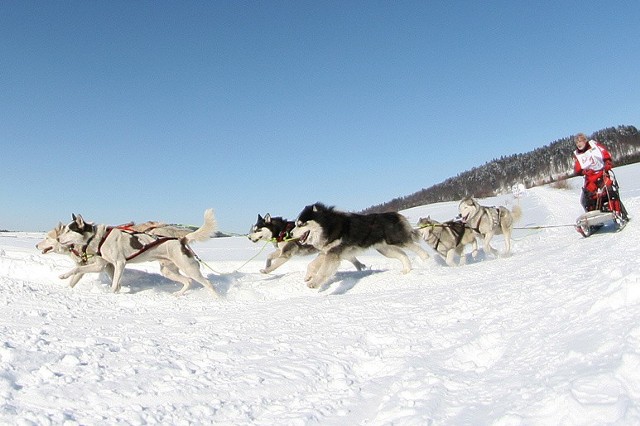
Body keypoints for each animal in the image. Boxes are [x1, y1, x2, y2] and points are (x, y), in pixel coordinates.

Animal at [53, 209, 218, 296]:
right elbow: (77, 269)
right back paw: (178, 294)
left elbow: (115, 282)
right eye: (65, 229)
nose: (58, 238)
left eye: (69, 230)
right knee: (188, 281)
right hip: (168, 270)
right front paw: (64, 275)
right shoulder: (101, 266)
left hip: (189, 267)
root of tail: (182, 239)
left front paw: (112, 293)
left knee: (208, 284)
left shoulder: (120, 263)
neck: (99, 238)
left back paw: (217, 299)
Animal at [290, 203, 430, 290]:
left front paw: (314, 283)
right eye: (296, 224)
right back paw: (407, 270)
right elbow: (312, 264)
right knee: (403, 255)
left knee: (416, 247)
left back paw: (427, 261)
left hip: (397, 240)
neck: (328, 225)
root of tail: (396, 214)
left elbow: (323, 271)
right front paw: (308, 276)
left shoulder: (333, 253)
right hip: (386, 249)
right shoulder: (328, 251)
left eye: (301, 224)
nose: (290, 233)